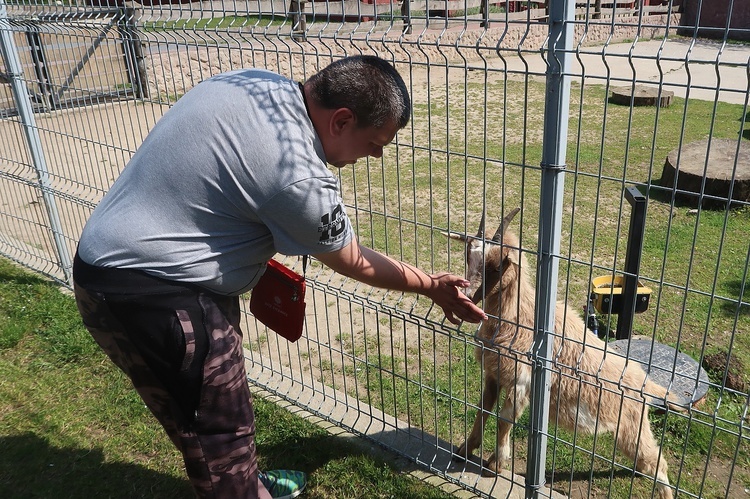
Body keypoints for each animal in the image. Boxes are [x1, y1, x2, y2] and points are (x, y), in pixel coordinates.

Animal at [446, 207, 688, 499]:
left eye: (496, 266)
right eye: (467, 257)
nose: (466, 296)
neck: (519, 316)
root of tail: (646, 383)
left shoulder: (522, 382)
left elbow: (504, 420)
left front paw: (496, 464)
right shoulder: (494, 375)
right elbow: (482, 410)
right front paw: (465, 449)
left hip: (632, 424)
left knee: (656, 461)